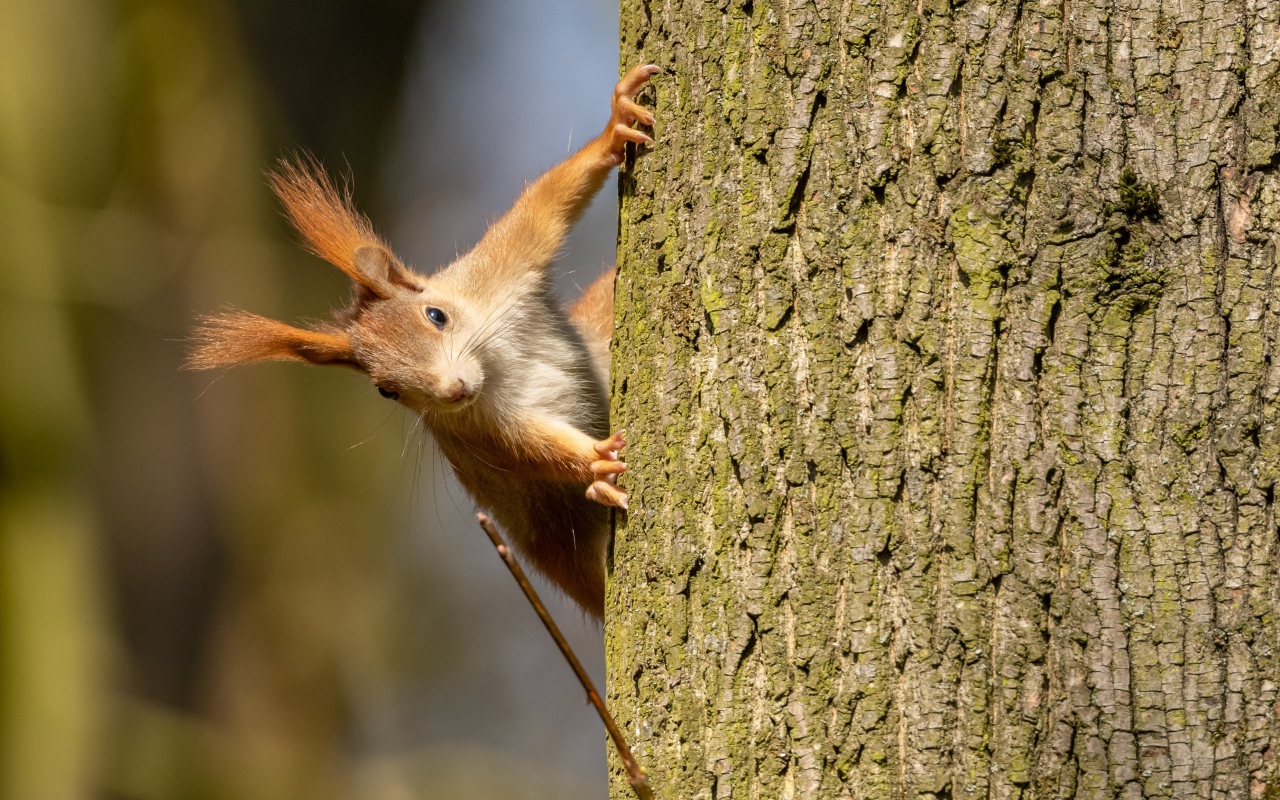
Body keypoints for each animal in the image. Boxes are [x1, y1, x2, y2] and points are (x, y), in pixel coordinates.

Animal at [189, 65, 660, 614]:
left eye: (437, 315)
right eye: (385, 391)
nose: (453, 390)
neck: (494, 365)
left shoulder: (498, 269)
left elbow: (543, 208)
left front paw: (616, 124)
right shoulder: (475, 432)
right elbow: (530, 451)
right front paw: (595, 461)